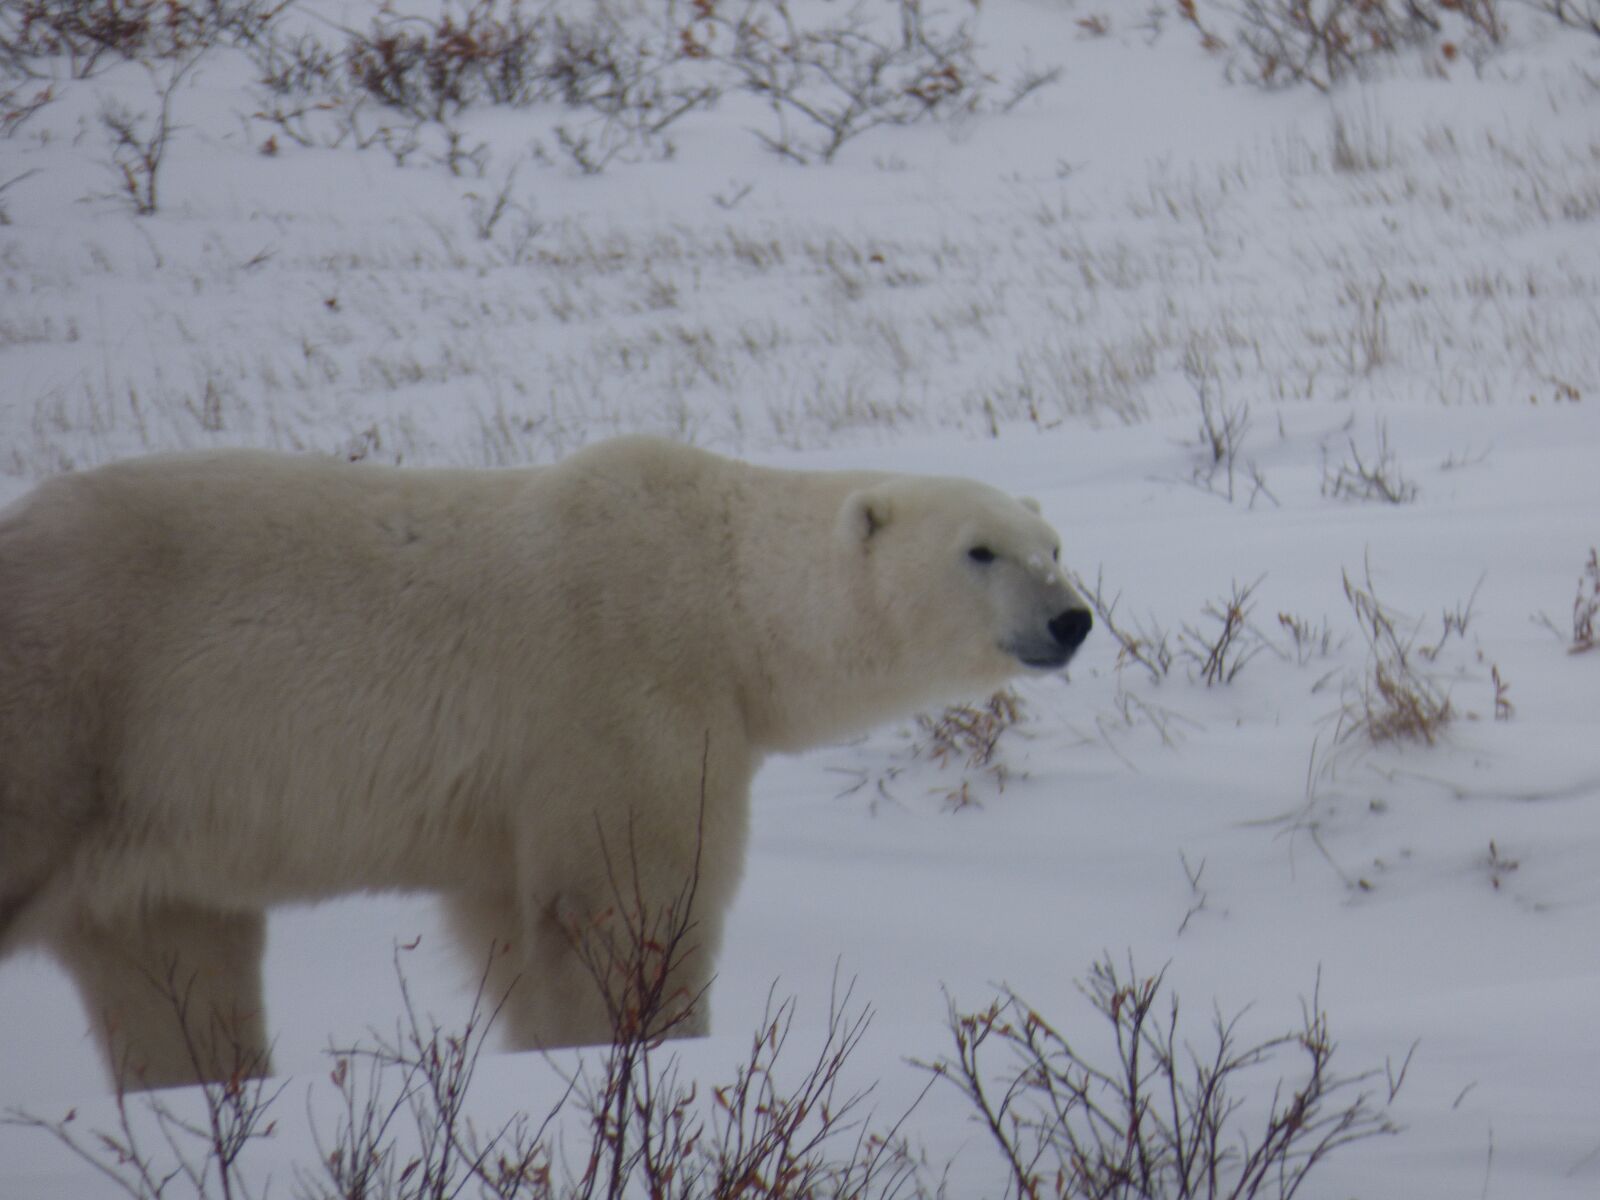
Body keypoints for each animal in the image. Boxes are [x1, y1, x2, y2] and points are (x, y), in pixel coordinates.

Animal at [0, 438, 1088, 1094]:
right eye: (979, 551)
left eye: (1054, 545)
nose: (1071, 619)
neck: (719, 592)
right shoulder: (618, 696)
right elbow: (628, 909)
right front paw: (646, 1055)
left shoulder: (500, 808)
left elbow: (511, 931)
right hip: (64, 709)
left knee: (174, 963)